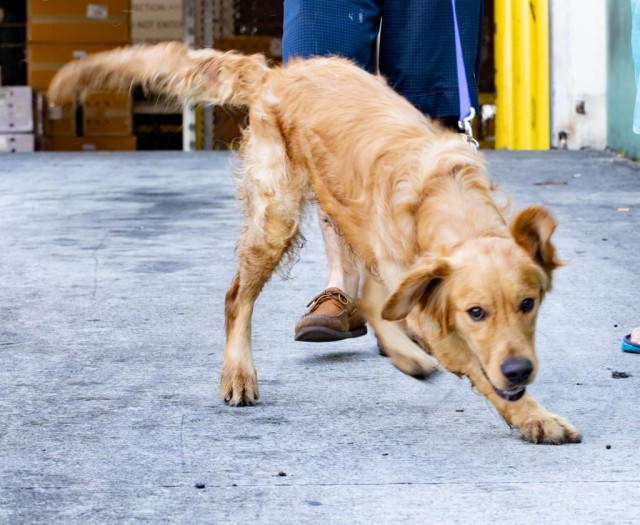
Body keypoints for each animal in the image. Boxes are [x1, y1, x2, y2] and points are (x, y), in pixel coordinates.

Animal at [47, 43, 584, 442]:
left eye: (528, 304)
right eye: (476, 313)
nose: (519, 369)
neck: (443, 196)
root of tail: (276, 74)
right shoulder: (434, 310)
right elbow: (476, 365)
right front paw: (536, 418)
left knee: (370, 296)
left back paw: (403, 353)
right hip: (276, 218)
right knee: (236, 298)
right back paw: (238, 374)